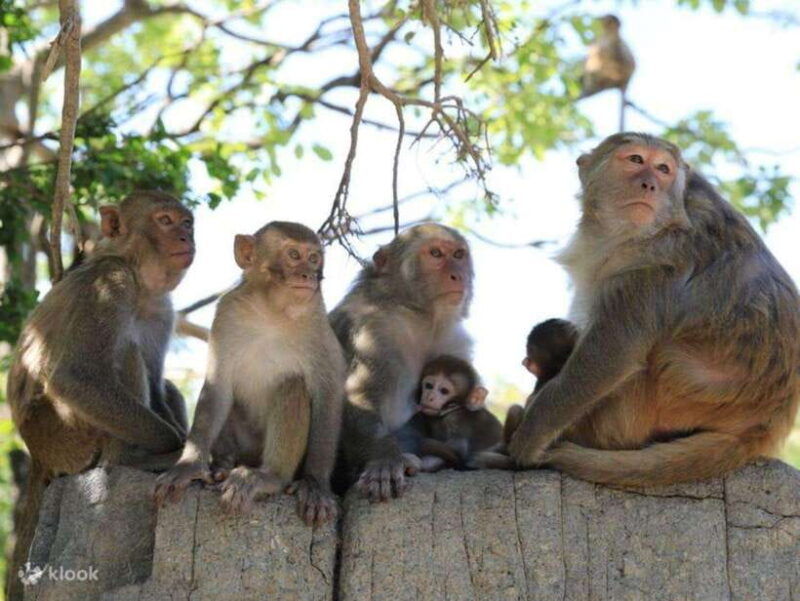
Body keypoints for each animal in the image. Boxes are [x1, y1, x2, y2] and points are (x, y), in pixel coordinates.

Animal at [6, 190, 194, 601]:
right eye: (164, 221)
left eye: (187, 222)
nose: (186, 237)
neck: (137, 274)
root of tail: (37, 455)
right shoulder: (109, 286)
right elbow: (75, 376)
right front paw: (179, 447)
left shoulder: (162, 310)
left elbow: (159, 386)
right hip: (66, 435)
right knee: (123, 354)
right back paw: (130, 459)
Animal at [153, 221, 345, 526]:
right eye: (293, 255)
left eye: (314, 258)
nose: (308, 274)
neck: (272, 312)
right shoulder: (227, 312)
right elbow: (217, 387)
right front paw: (189, 465)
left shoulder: (317, 325)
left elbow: (327, 396)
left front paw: (315, 485)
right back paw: (223, 464)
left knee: (292, 384)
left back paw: (269, 476)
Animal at [329, 223, 477, 501]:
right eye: (436, 253)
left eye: (458, 255)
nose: (458, 276)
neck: (420, 318)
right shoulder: (374, 331)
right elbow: (358, 396)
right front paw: (384, 460)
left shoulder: (455, 342)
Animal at [508, 132, 800, 488]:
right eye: (636, 160)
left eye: (663, 168)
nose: (649, 184)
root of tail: (765, 426)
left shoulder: (661, 261)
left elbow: (612, 353)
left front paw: (531, 434)